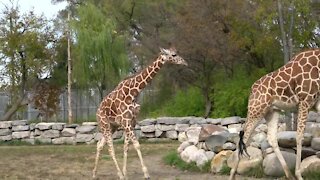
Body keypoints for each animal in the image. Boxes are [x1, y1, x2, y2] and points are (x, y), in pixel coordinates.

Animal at [92, 47, 188, 179]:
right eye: (173, 55)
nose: (185, 62)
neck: (134, 92)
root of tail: (97, 112)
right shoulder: (126, 122)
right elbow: (137, 144)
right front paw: (145, 173)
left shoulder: (131, 122)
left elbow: (126, 147)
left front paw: (126, 173)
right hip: (105, 125)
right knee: (110, 148)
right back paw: (118, 175)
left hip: (113, 127)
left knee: (99, 145)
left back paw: (95, 174)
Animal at [229, 49, 320, 180]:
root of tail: (252, 90)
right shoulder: (305, 101)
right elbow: (299, 136)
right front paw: (299, 175)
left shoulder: (317, 103)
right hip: (256, 110)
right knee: (244, 137)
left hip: (272, 111)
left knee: (271, 138)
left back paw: (289, 175)